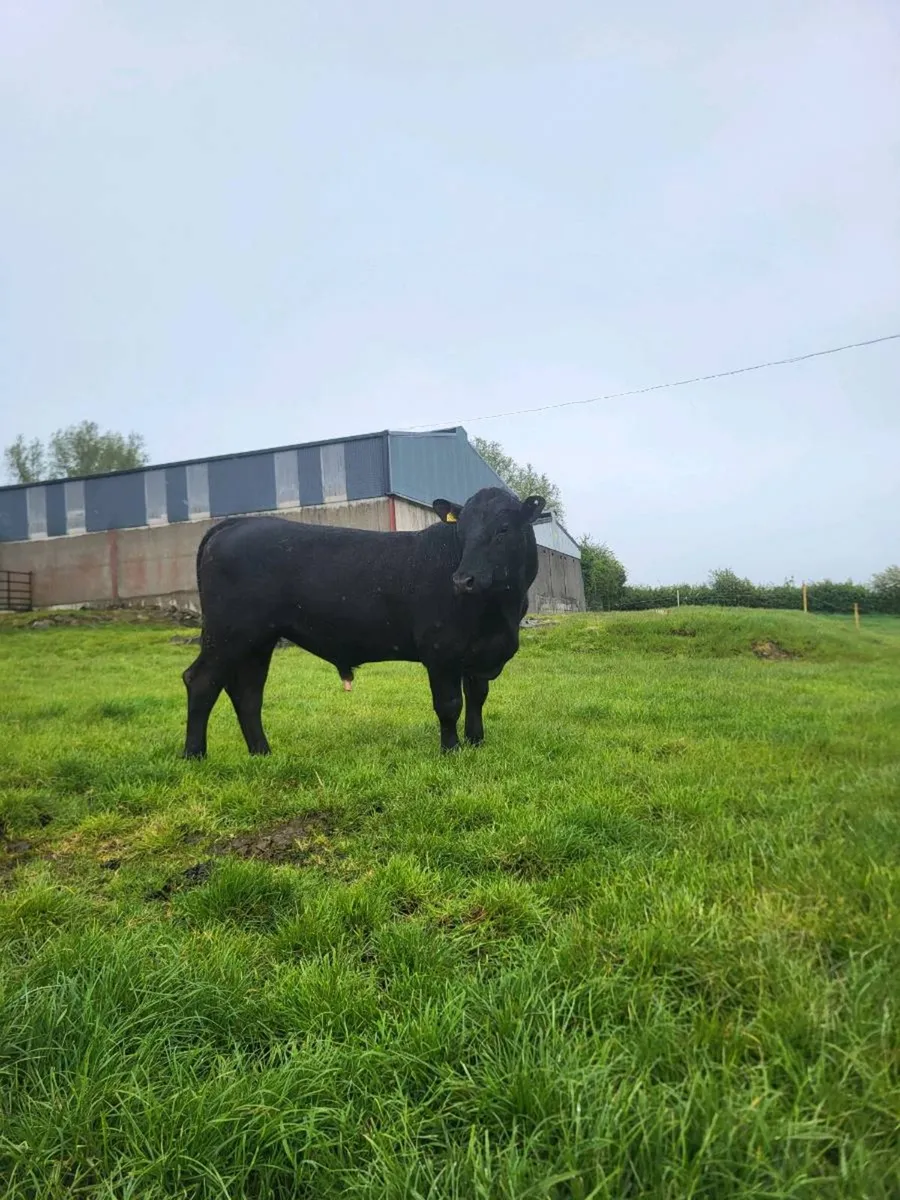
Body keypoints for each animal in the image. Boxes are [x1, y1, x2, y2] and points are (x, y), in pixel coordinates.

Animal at [181, 486, 545, 757]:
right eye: (462, 531)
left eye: (503, 529)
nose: (463, 580)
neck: (502, 613)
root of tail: (238, 524)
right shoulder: (440, 651)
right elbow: (449, 704)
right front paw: (451, 750)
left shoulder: (479, 651)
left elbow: (477, 696)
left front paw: (476, 741)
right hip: (228, 632)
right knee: (201, 681)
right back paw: (195, 755)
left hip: (258, 640)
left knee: (248, 691)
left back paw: (262, 752)